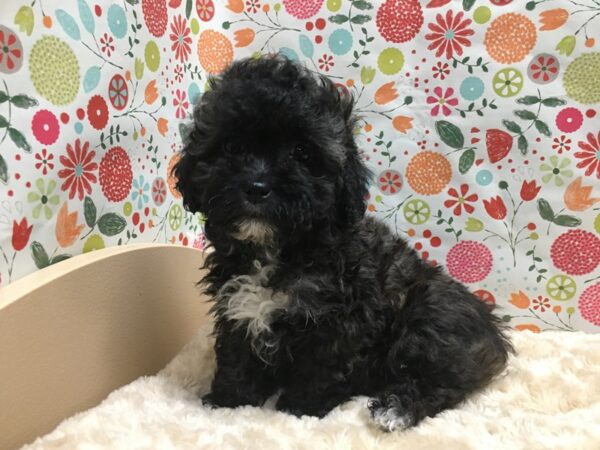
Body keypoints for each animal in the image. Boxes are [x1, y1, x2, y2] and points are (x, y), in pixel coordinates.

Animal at [175, 56, 510, 432]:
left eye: (302, 153)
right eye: (232, 147)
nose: (257, 187)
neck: (274, 250)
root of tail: (494, 334)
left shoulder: (340, 320)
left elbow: (322, 366)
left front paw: (300, 409)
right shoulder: (236, 306)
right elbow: (237, 356)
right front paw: (229, 401)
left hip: (431, 315)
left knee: (440, 383)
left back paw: (395, 410)